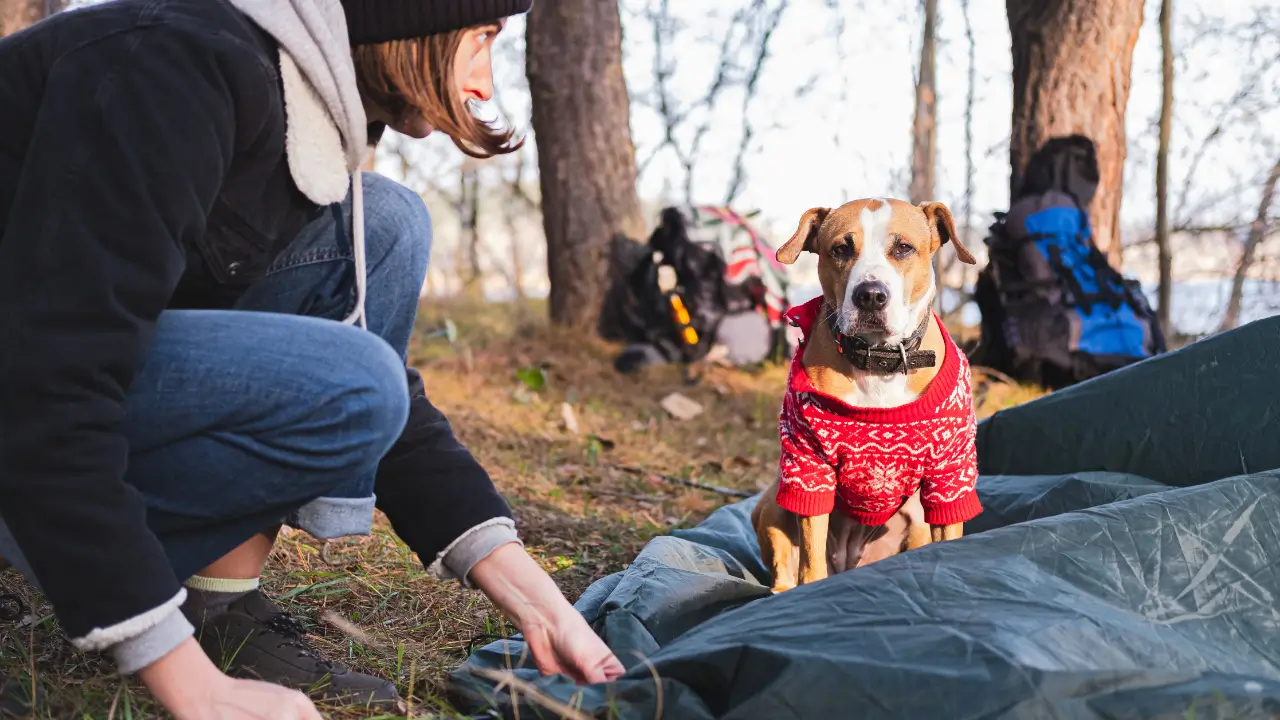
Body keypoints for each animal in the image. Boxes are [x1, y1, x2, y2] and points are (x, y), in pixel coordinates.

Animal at [752, 198, 983, 591]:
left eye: (903, 247)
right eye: (841, 249)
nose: (871, 295)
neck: (880, 362)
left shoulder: (950, 471)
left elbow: (950, 528)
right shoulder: (808, 466)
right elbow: (811, 557)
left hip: (914, 517)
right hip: (773, 501)